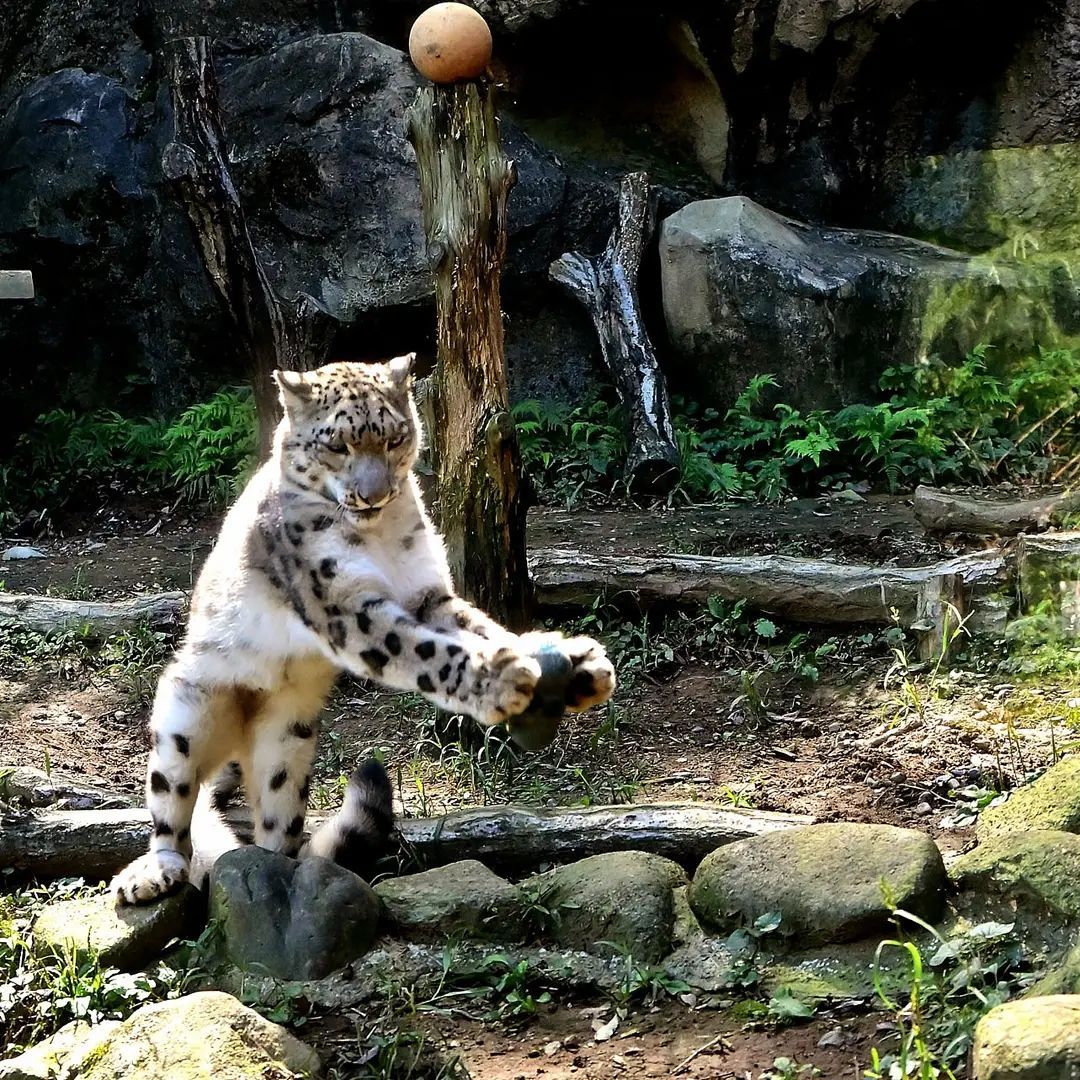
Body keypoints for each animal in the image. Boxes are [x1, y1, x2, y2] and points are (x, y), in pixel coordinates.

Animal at [111, 354, 617, 902]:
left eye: (394, 439)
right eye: (338, 445)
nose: (374, 495)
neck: (382, 537)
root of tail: (236, 742)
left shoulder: (425, 594)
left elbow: (477, 629)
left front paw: (576, 663)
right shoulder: (351, 608)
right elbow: (427, 653)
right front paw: (499, 682)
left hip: (286, 744)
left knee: (276, 822)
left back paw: (274, 873)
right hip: (185, 719)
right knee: (173, 805)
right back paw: (154, 872)